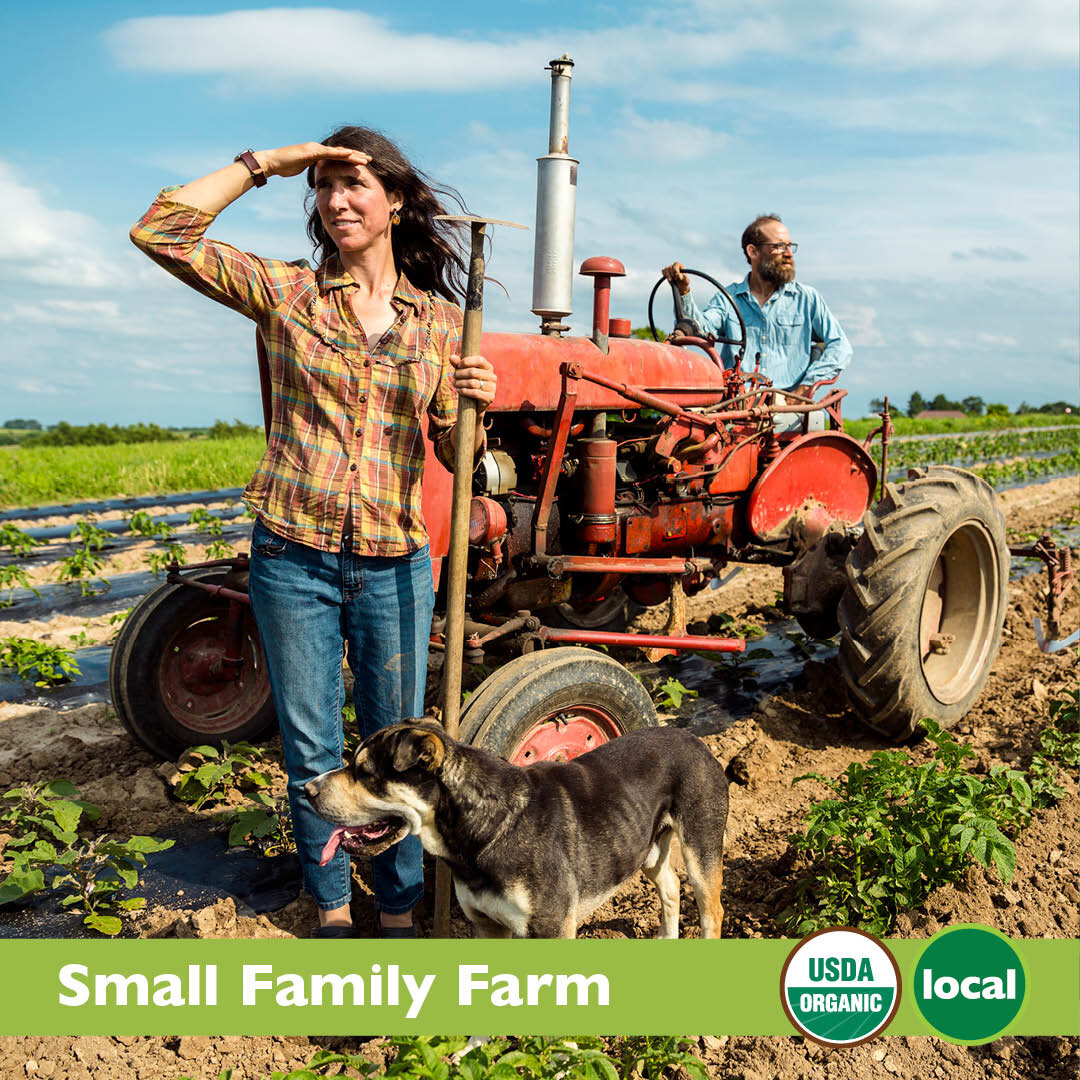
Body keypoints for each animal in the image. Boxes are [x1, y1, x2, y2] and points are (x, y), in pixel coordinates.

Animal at [304, 721, 730, 941]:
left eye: (364, 772)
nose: (307, 790)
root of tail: (692, 736)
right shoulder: (486, 926)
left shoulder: (553, 929)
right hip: (645, 845)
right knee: (670, 886)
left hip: (701, 845)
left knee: (711, 911)